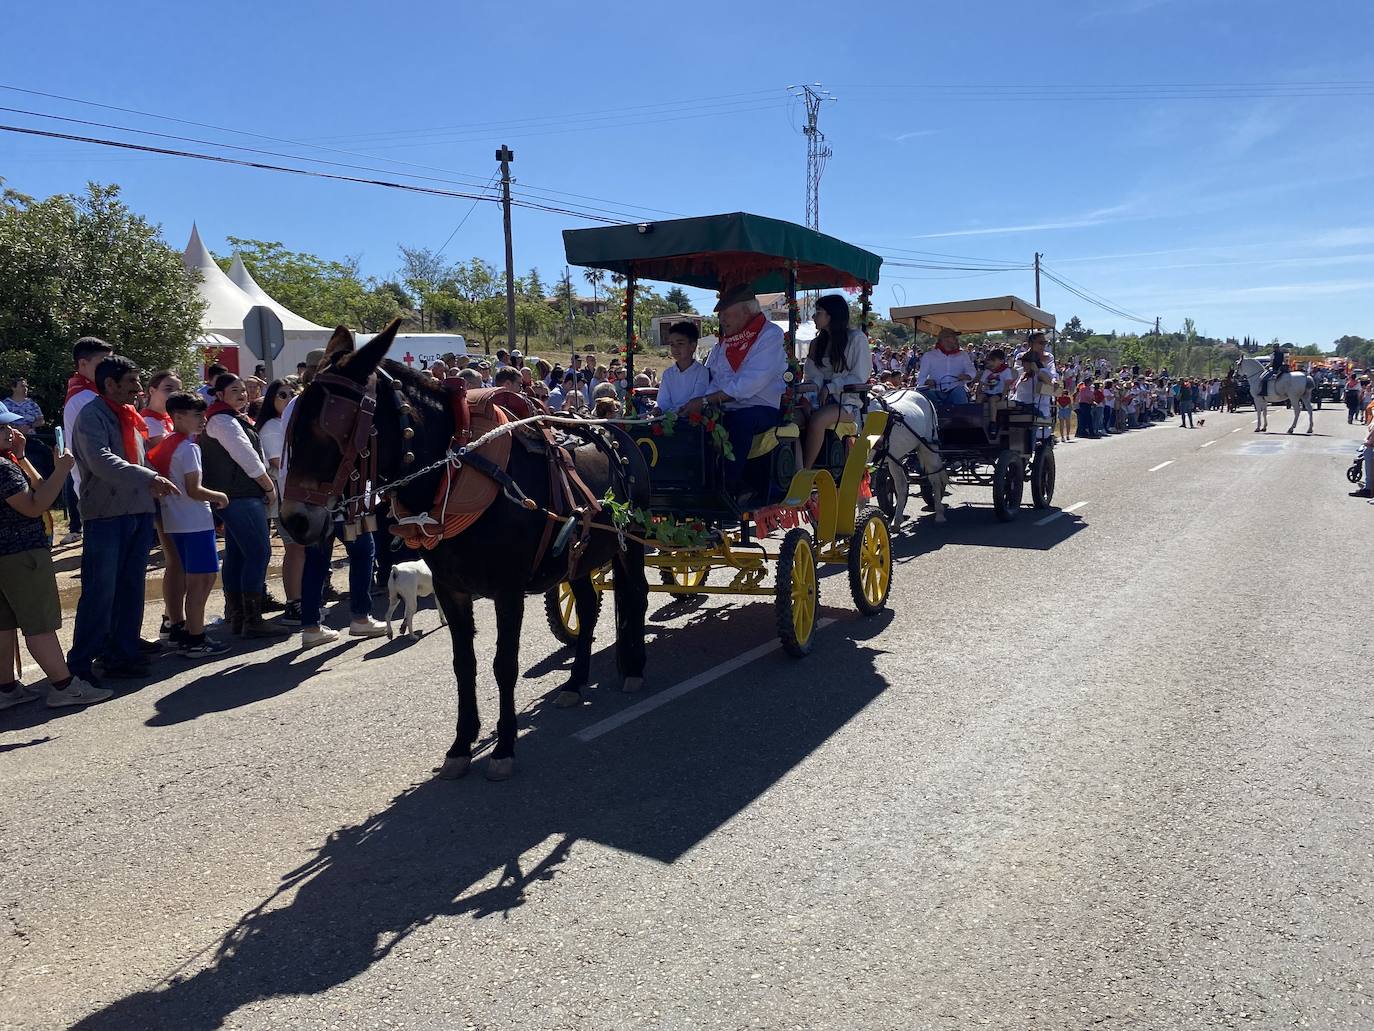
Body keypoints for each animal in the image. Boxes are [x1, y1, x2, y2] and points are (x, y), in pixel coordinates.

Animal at [868, 390, 945, 527]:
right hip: (896, 456)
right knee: (901, 486)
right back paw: (897, 520)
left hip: (929, 447)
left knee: (935, 479)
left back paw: (939, 514)